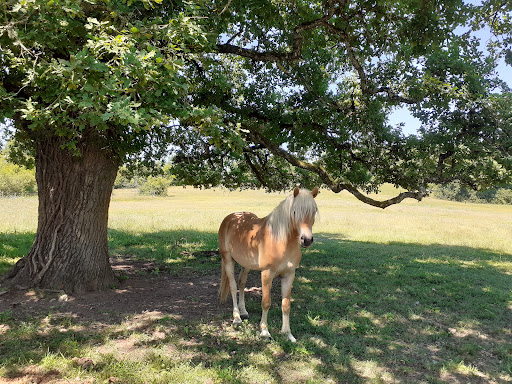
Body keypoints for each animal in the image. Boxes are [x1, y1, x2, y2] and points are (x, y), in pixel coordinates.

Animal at [218, 186, 318, 342]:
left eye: (314, 210)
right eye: (294, 211)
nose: (306, 240)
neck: (280, 241)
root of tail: (231, 217)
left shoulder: (289, 275)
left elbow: (286, 304)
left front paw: (287, 334)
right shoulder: (267, 274)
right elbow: (266, 302)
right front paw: (264, 331)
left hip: (246, 265)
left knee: (241, 283)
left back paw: (243, 311)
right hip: (228, 259)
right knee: (233, 287)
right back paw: (237, 317)